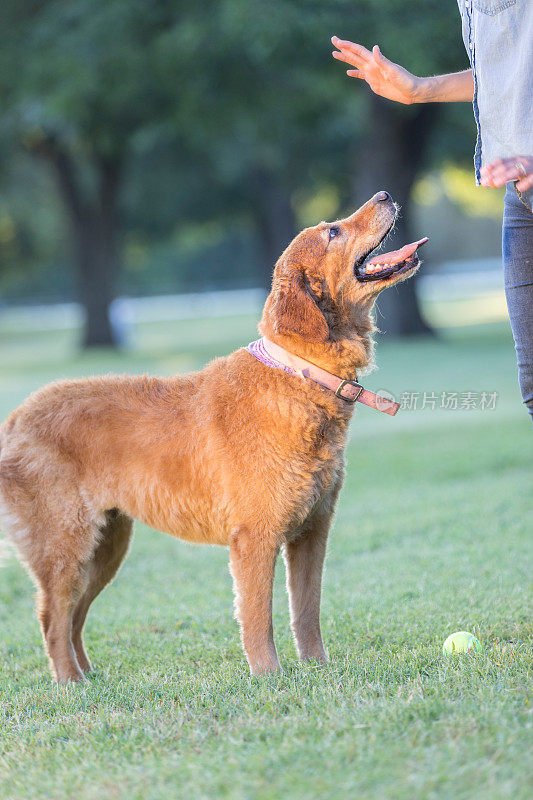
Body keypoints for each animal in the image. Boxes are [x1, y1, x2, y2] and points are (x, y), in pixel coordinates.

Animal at [0, 192, 424, 680]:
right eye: (333, 231)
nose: (385, 195)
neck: (298, 374)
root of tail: (14, 420)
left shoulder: (312, 531)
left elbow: (307, 610)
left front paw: (317, 667)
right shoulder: (255, 537)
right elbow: (259, 618)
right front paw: (269, 677)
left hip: (106, 547)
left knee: (74, 615)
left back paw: (89, 676)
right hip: (65, 546)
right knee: (53, 617)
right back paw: (71, 684)